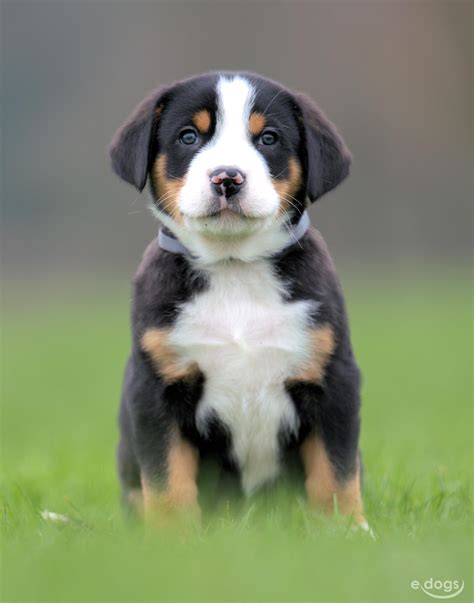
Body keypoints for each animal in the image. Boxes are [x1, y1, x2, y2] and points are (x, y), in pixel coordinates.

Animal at [110, 71, 366, 528]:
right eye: (189, 136)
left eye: (268, 138)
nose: (227, 178)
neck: (234, 269)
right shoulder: (156, 388)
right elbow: (165, 476)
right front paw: (172, 537)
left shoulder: (333, 378)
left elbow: (336, 471)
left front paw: (347, 531)